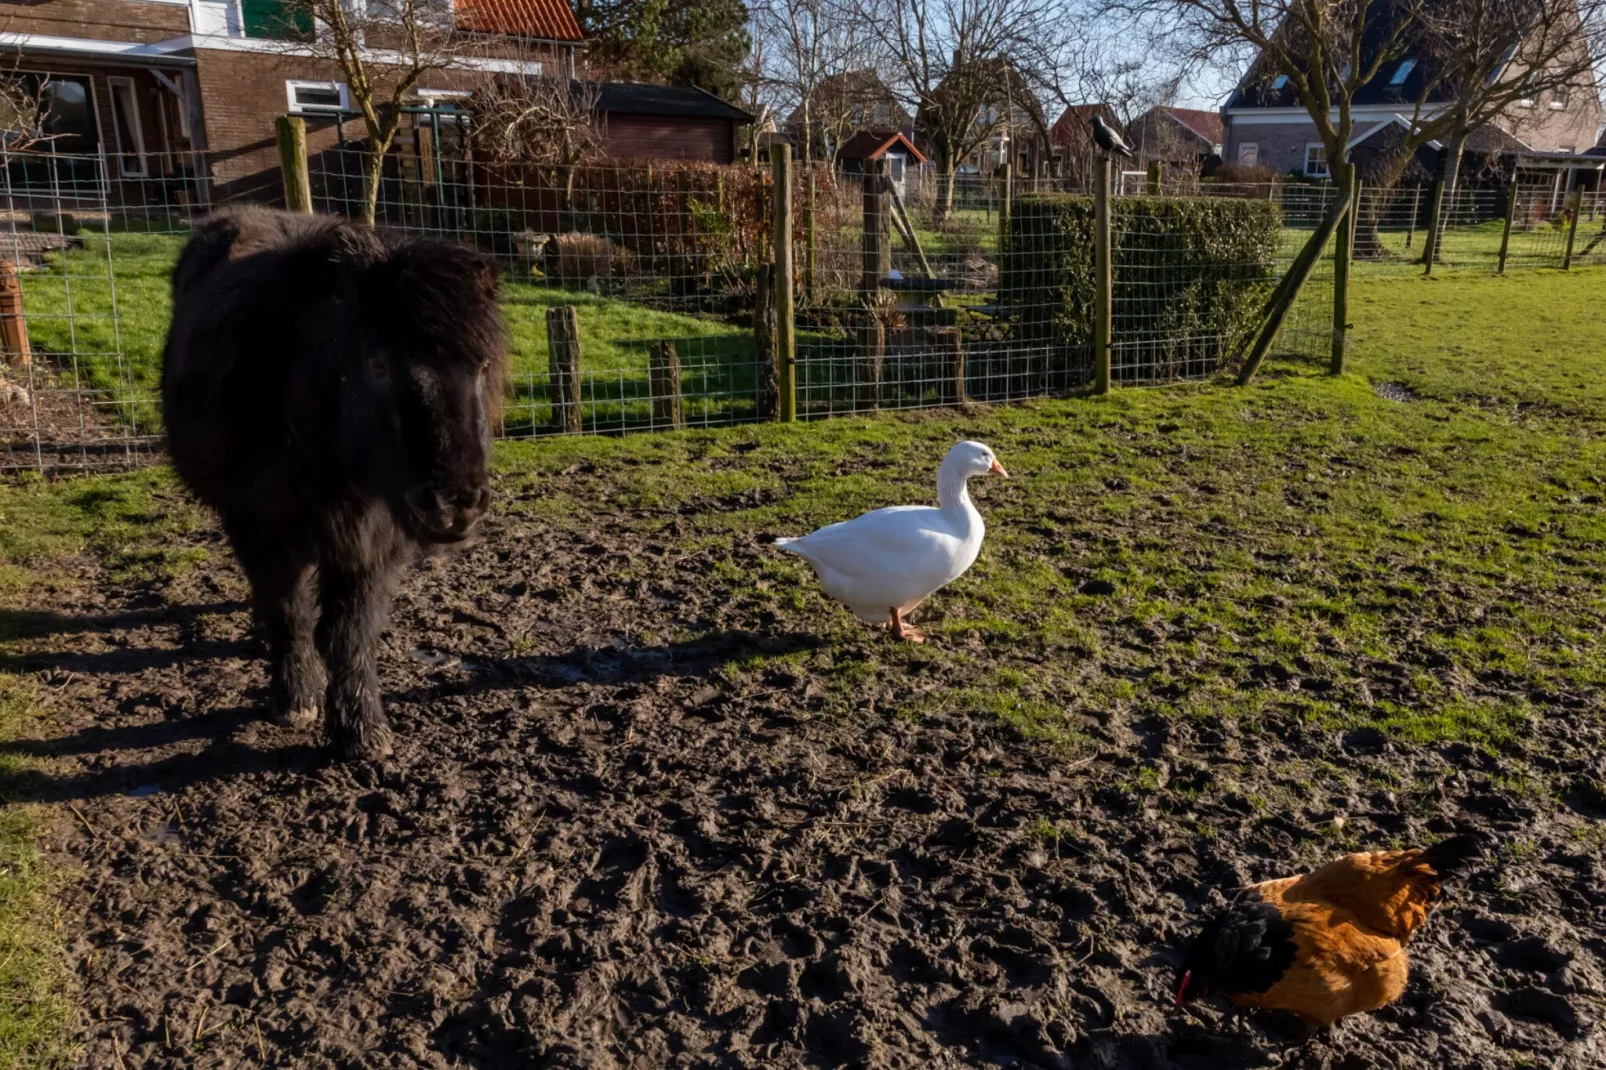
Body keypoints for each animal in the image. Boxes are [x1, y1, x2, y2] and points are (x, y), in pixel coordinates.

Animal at [162, 208, 501, 758]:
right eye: (379, 363)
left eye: (483, 364)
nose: (456, 503)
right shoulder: (261, 525)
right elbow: (290, 613)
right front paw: (296, 697)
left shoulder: (374, 543)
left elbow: (349, 634)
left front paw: (362, 729)